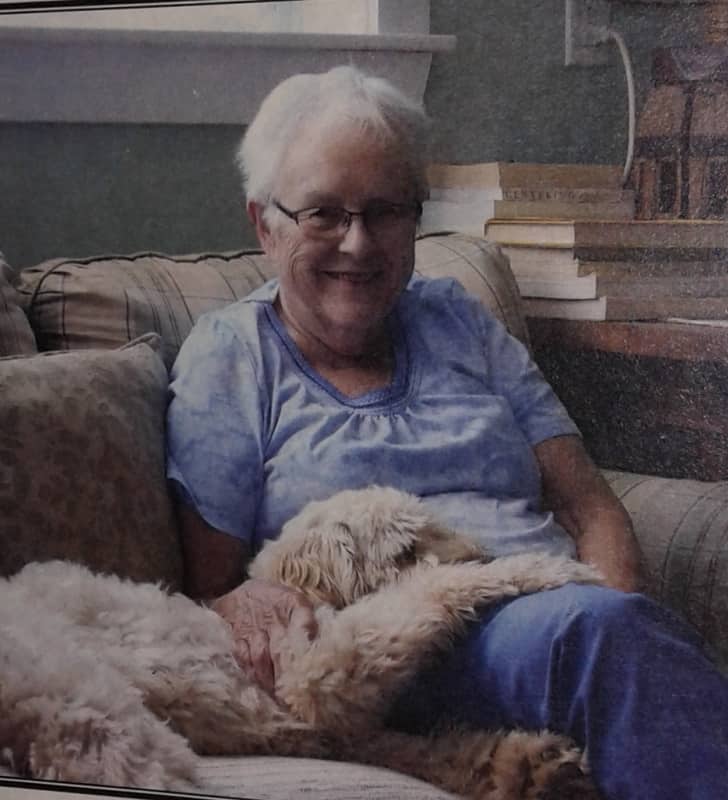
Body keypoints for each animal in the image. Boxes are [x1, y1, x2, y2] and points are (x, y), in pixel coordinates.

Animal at [0, 486, 603, 799]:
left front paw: (530, 766)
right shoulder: (317, 676)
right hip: (98, 717)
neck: (303, 592)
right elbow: (428, 591)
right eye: (406, 548)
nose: (481, 552)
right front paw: (546, 568)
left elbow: (440, 752)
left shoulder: (344, 732)